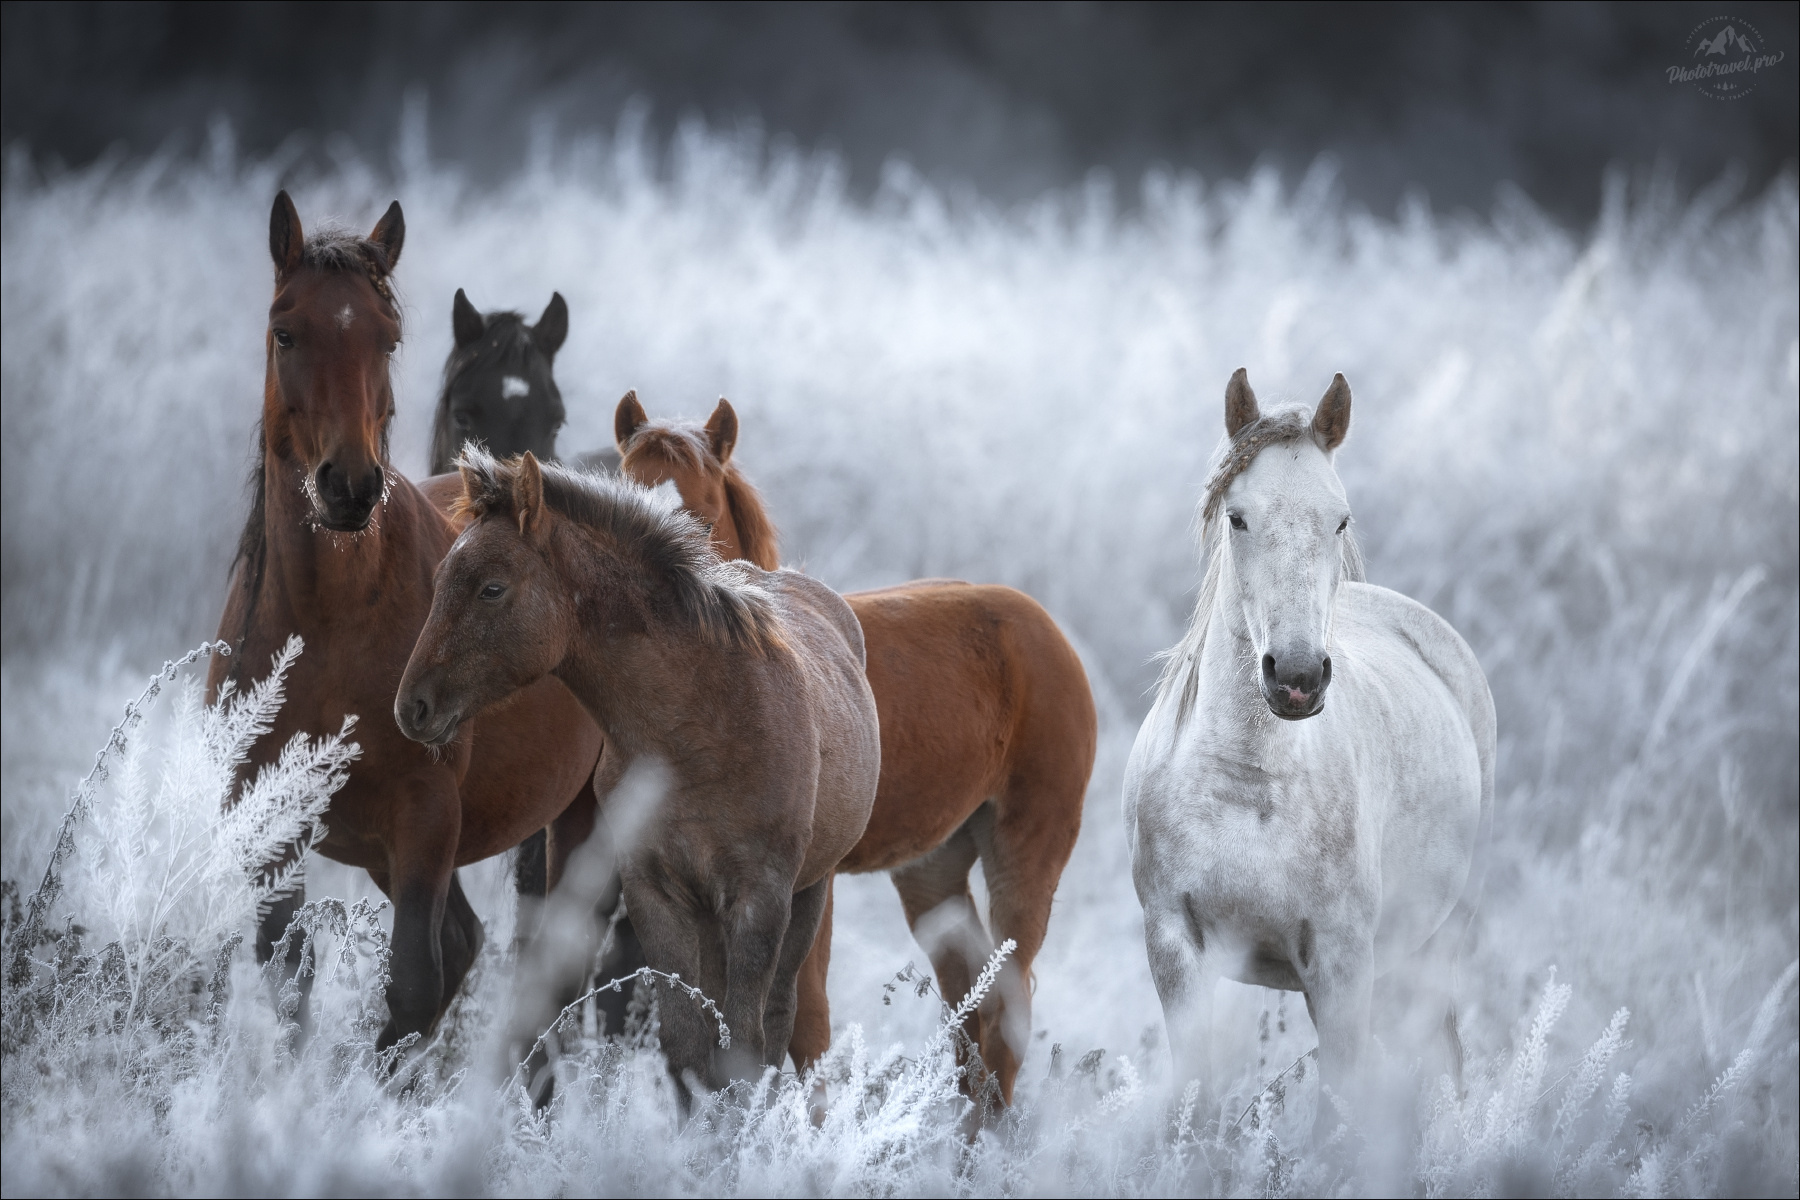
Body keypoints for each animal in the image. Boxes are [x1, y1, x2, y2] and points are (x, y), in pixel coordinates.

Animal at [210, 191, 604, 1052]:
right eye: (285, 330)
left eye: (387, 339)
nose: (349, 486)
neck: (328, 625)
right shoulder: (274, 827)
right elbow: (291, 982)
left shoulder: (424, 819)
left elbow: (414, 987)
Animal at [394, 450, 882, 1091]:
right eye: (442, 580)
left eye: (492, 589)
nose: (412, 707)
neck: (699, 731)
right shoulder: (657, 895)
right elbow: (687, 1046)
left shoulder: (760, 900)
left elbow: (744, 1047)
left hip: (808, 895)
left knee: (777, 1022)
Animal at [613, 391, 1097, 1107]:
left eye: (701, 516)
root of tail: (1047, 630)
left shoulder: (806, 880)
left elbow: (803, 1021)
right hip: (934, 866)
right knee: (971, 1003)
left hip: (1026, 847)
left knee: (1008, 1005)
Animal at [1121, 369, 1493, 1139]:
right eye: (1237, 518)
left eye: (1340, 519)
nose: (1295, 678)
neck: (1248, 784)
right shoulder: (1175, 947)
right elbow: (1195, 1106)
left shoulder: (1341, 963)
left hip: (1433, 944)